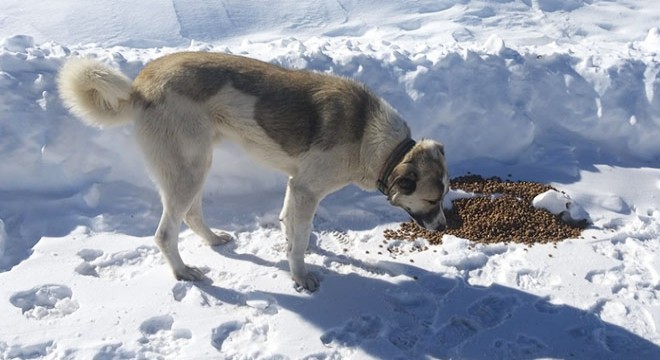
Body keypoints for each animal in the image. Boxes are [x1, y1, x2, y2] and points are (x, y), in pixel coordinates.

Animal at [58, 52, 448, 292]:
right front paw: (301, 276)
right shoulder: (306, 189)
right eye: (432, 199)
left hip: (195, 165)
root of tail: (139, 86)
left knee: (191, 214)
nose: (446, 227)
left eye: (444, 195)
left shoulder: (296, 186)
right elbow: (300, 240)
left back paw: (213, 239)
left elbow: (293, 229)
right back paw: (183, 271)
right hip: (189, 168)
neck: (374, 140)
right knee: (165, 233)